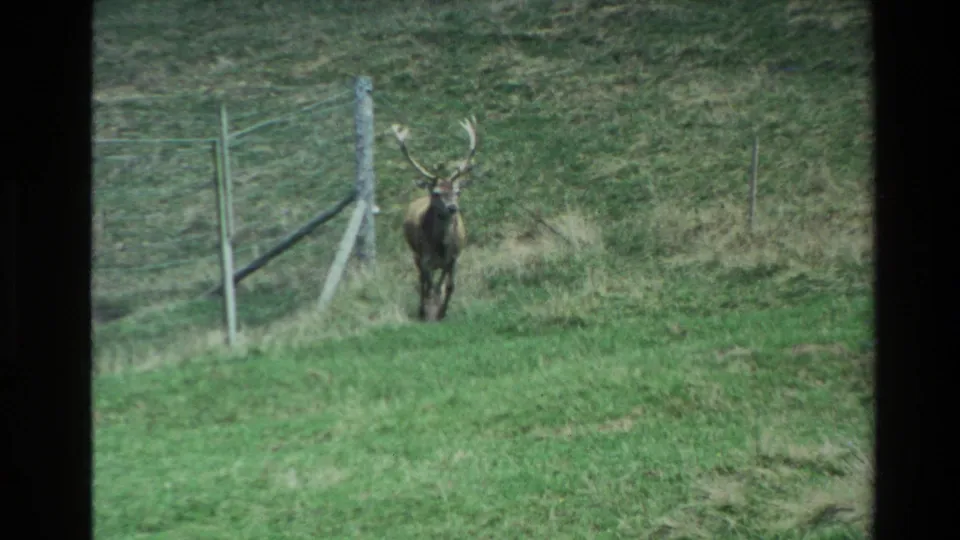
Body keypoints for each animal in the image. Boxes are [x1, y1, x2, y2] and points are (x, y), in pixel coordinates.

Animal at [390, 116, 479, 321]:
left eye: (457, 191)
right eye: (437, 193)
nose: (453, 208)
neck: (441, 246)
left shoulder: (454, 257)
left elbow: (449, 286)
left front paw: (442, 313)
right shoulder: (425, 258)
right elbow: (431, 286)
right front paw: (431, 312)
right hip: (415, 254)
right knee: (422, 282)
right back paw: (422, 310)